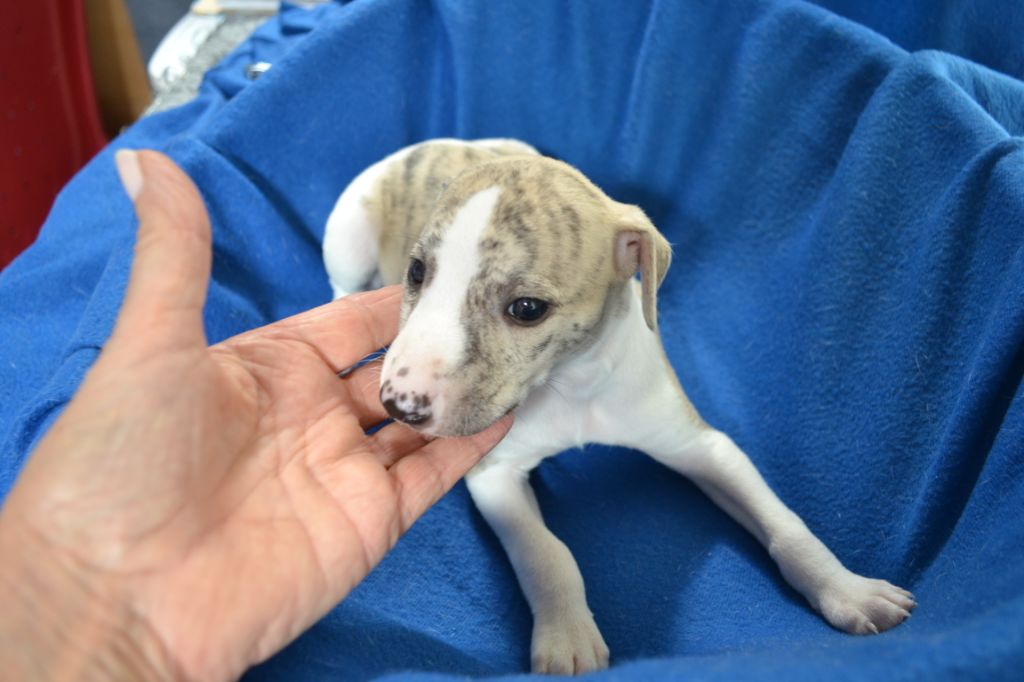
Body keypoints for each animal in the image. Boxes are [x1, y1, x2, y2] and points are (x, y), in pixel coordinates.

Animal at [322, 138, 916, 674]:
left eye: (527, 308)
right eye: (417, 272)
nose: (400, 404)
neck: (571, 384)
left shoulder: (701, 444)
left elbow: (784, 521)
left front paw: (848, 589)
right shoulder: (496, 472)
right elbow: (547, 553)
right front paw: (568, 638)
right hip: (349, 234)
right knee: (340, 286)